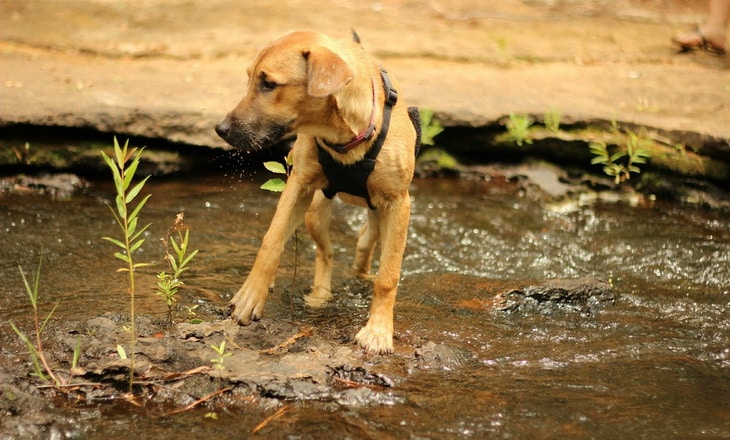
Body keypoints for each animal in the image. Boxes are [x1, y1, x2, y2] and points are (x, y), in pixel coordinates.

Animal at [215, 31, 420, 354]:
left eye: (269, 84)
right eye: (249, 79)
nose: (220, 130)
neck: (346, 137)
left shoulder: (398, 203)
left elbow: (388, 276)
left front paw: (378, 332)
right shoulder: (299, 185)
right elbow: (271, 241)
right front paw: (250, 296)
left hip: (383, 214)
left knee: (367, 241)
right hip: (315, 212)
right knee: (327, 253)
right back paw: (320, 294)